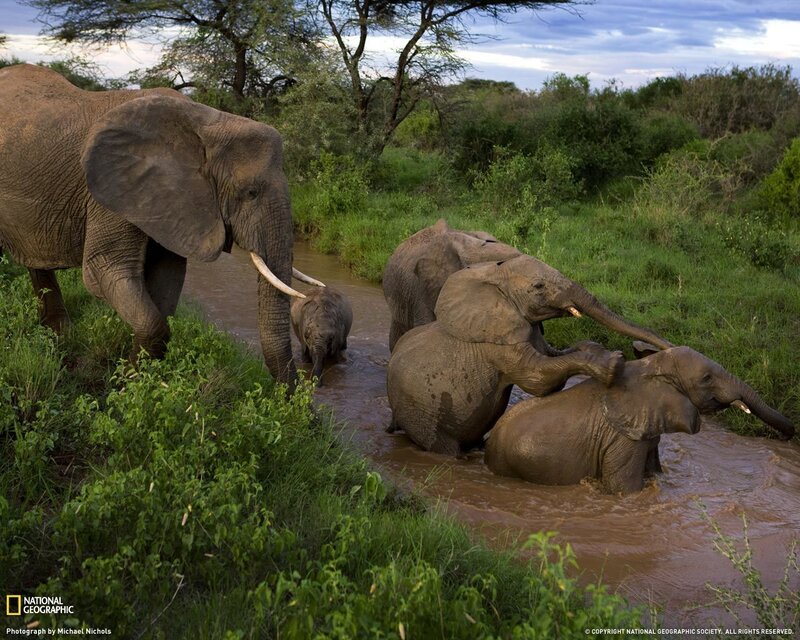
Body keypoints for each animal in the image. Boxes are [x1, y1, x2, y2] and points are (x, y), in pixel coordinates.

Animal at [0, 64, 322, 387]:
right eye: (250, 193)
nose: (297, 393)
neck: (208, 124)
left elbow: (167, 278)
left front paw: (137, 379)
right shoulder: (114, 192)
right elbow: (105, 269)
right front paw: (127, 384)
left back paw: (59, 333)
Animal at [386, 254, 674, 455]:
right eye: (538, 286)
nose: (668, 347)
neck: (494, 275)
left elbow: (554, 356)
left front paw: (596, 349)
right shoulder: (498, 341)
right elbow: (538, 379)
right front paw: (613, 364)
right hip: (422, 414)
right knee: (443, 447)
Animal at [485, 345, 795, 494]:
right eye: (707, 378)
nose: (790, 434)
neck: (651, 366)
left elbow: (654, 471)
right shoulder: (622, 438)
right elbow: (625, 489)